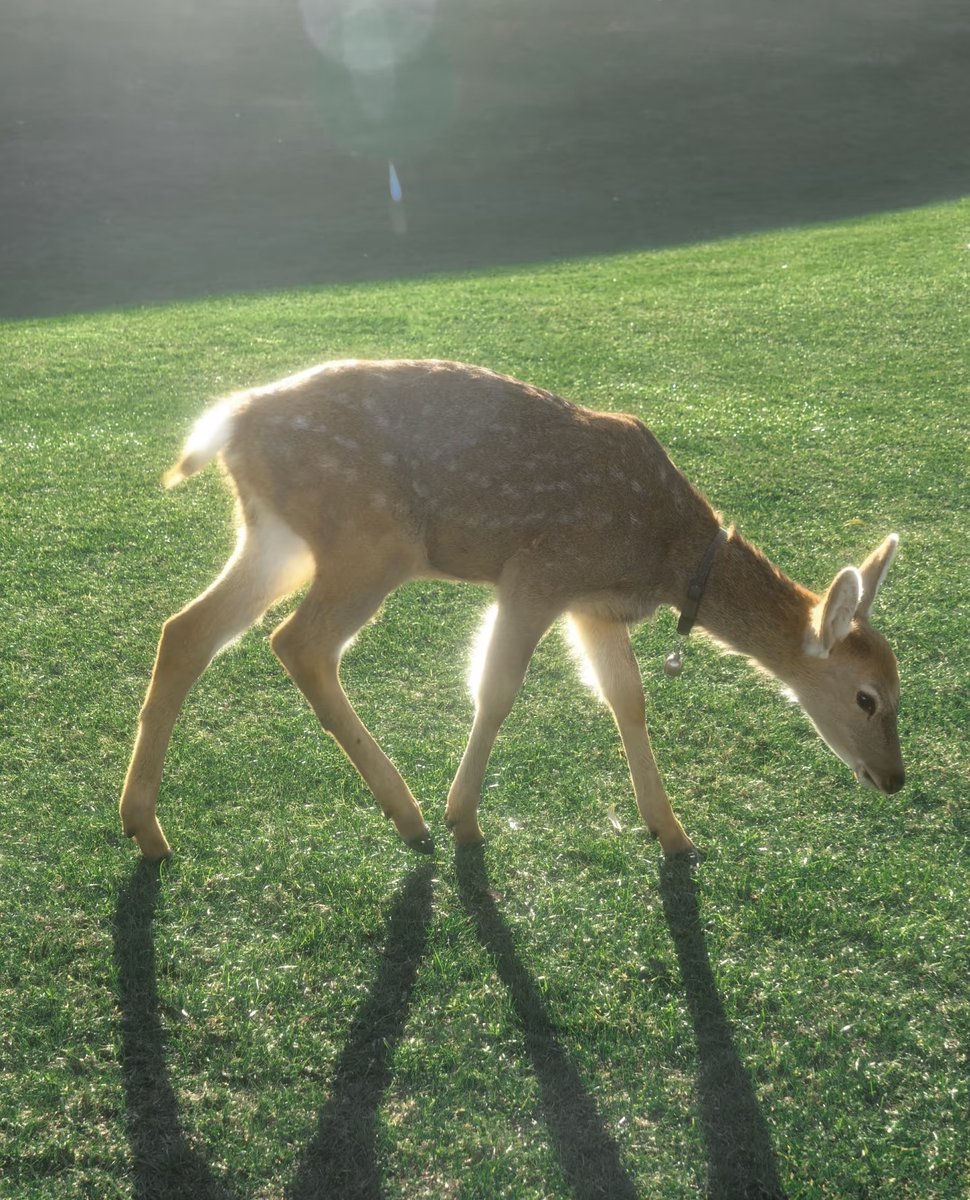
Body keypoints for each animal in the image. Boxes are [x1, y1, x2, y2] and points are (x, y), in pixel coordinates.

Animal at [120, 359, 904, 862]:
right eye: (867, 697)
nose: (894, 778)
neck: (666, 554)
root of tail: (227, 423)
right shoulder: (539, 571)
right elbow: (496, 688)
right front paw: (463, 817)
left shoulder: (594, 606)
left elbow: (628, 698)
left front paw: (673, 833)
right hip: (371, 539)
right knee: (297, 643)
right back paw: (409, 816)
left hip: (279, 538)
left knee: (187, 630)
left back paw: (145, 829)